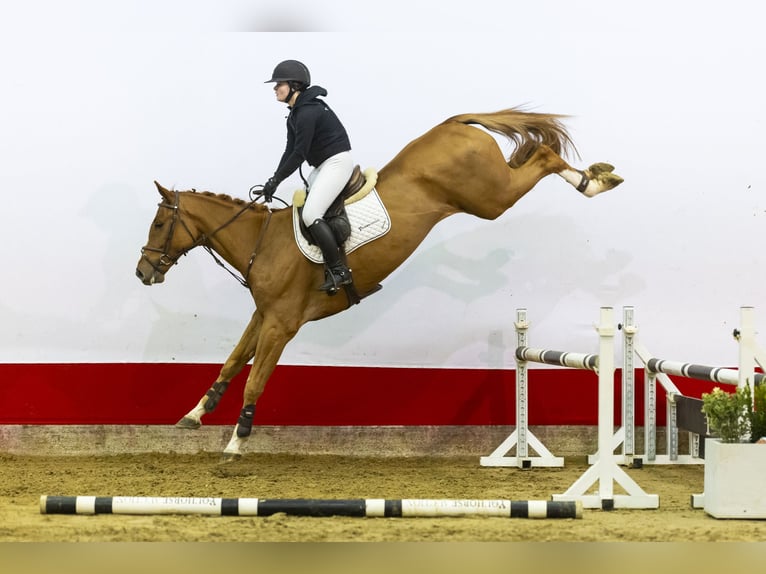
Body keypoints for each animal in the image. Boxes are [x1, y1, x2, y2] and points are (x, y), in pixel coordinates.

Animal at [135, 107, 624, 464]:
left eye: (159, 224)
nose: (142, 272)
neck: (262, 242)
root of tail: (453, 123)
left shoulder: (281, 324)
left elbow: (255, 380)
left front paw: (236, 442)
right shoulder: (265, 315)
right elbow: (232, 362)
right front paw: (195, 414)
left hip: (489, 197)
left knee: (541, 157)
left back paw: (596, 181)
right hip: (486, 193)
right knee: (535, 153)